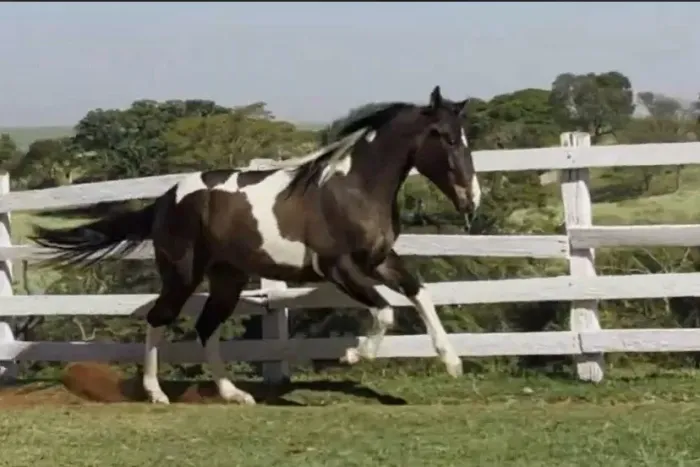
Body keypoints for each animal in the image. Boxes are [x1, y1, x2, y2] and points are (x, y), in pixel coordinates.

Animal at [30, 85, 481, 405]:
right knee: (160, 318)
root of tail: (167, 198)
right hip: (182, 273)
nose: (471, 199)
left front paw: (453, 362)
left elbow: (419, 293)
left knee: (205, 327)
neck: (352, 188)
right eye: (445, 137)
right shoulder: (338, 267)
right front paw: (353, 355)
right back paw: (156, 393)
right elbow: (386, 311)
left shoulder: (379, 259)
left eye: (465, 137)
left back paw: (234, 394)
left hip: (227, 278)